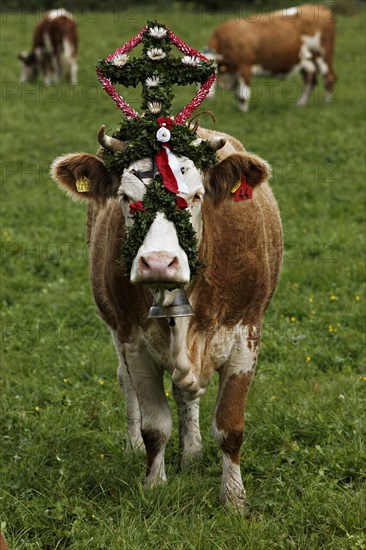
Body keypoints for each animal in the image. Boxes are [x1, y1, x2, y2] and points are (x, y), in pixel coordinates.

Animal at [50, 22, 282, 512]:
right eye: (126, 197)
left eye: (193, 196)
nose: (159, 262)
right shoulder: (133, 339)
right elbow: (155, 424)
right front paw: (153, 485)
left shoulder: (247, 335)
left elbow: (229, 427)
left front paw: (234, 500)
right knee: (128, 386)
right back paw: (135, 445)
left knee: (187, 393)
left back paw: (191, 451)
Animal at [204, 3, 336, 111]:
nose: (207, 97)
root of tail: (320, 8)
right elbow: (237, 95)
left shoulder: (245, 66)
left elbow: (242, 95)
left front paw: (243, 113)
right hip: (305, 59)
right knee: (310, 80)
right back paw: (300, 105)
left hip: (323, 55)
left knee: (329, 78)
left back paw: (325, 106)